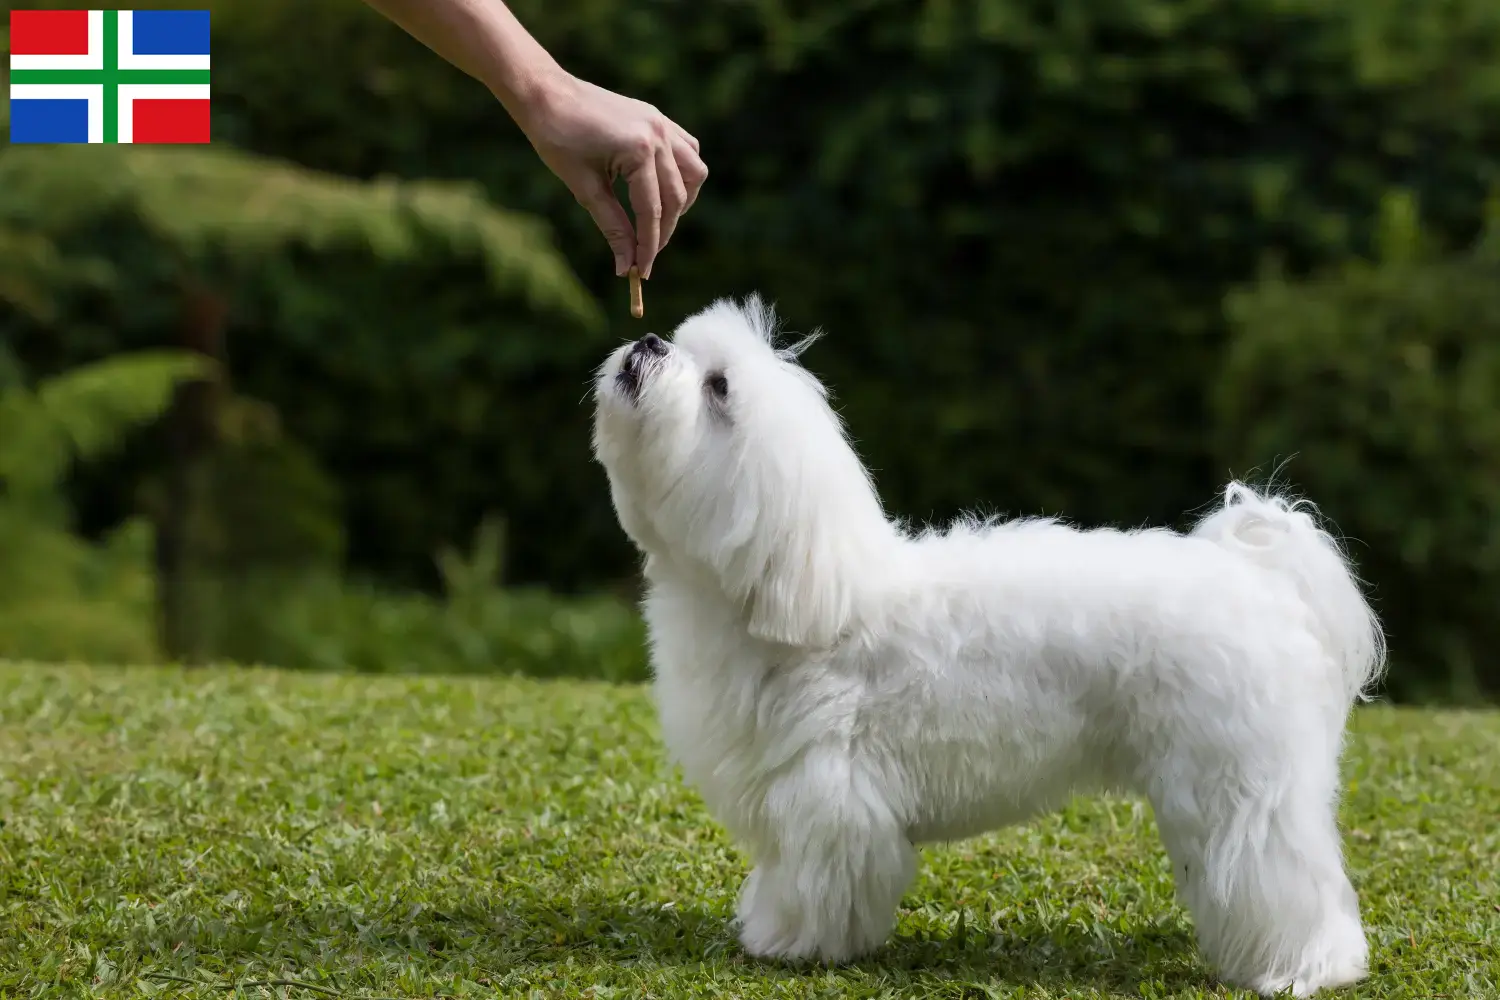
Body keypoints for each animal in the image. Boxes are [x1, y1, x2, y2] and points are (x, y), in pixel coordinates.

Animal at [591, 293, 1386, 995]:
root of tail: (1259, 577)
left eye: (718, 386)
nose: (649, 341)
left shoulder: (830, 794)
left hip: (1239, 788)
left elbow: (818, 879)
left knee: (1281, 877)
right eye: (682, 345)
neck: (807, 593)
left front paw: (797, 943)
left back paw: (1304, 968)